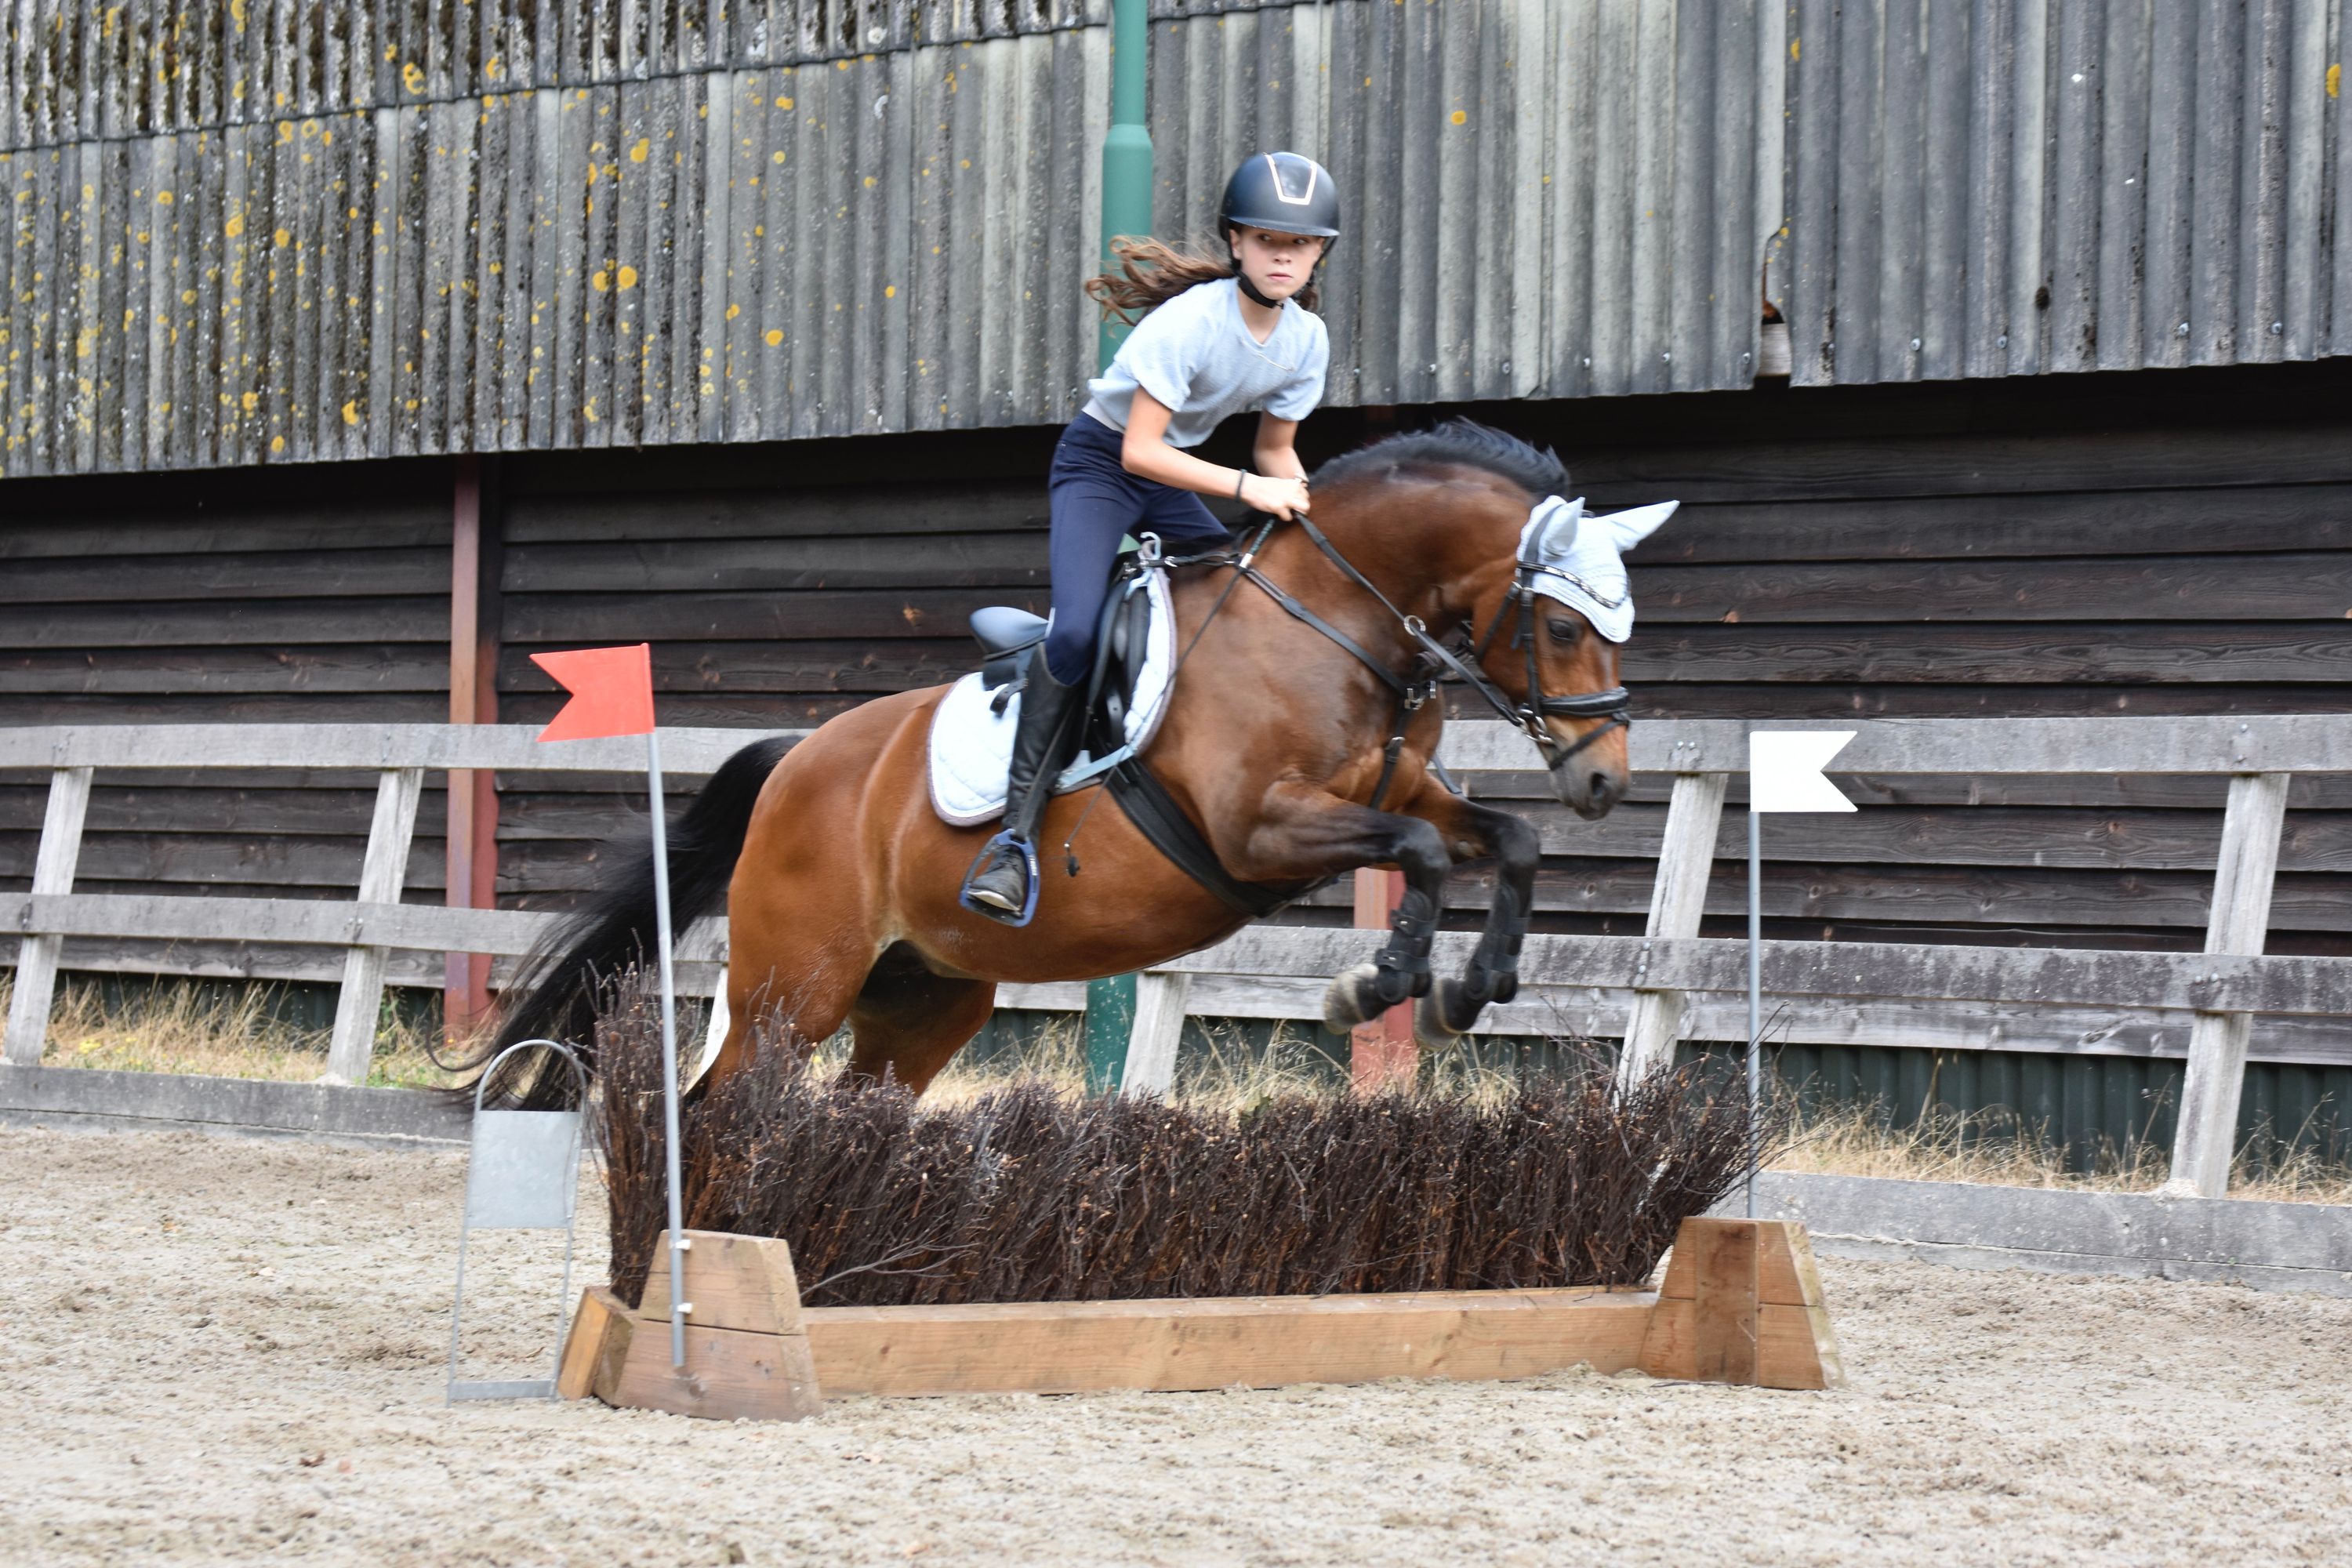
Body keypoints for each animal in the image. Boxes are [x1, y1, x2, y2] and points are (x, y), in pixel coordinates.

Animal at [485, 420, 1662, 1105]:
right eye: (1564, 629)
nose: (1606, 779)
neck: (1334, 618)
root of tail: (792, 762)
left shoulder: (1393, 790)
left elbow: (1502, 838)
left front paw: (1475, 986)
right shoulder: (1261, 825)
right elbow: (1421, 851)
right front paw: (1374, 982)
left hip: (922, 999)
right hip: (794, 989)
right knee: (721, 1106)